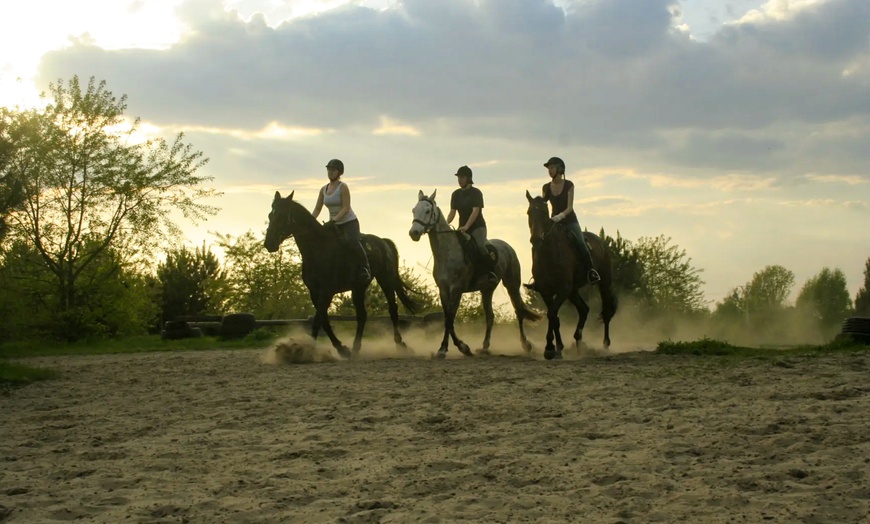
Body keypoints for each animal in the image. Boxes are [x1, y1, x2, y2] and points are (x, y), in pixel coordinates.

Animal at [266, 190, 422, 358]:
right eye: (270, 215)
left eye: (281, 216)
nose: (269, 244)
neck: (318, 248)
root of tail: (383, 242)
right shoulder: (314, 292)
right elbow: (323, 320)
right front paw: (340, 349)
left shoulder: (326, 291)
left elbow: (318, 320)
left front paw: (307, 349)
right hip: (358, 287)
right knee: (362, 315)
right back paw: (356, 348)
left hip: (385, 279)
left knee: (392, 309)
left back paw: (400, 345)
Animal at [408, 190, 540, 358]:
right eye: (413, 210)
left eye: (427, 211)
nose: (414, 233)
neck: (447, 251)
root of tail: (508, 246)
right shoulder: (443, 290)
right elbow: (447, 318)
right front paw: (462, 347)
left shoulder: (456, 289)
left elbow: (450, 318)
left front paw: (446, 349)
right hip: (487, 289)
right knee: (490, 316)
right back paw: (484, 347)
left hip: (512, 285)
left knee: (518, 311)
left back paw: (526, 345)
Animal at [524, 190, 620, 358]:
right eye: (529, 212)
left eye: (544, 212)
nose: (535, 238)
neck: (550, 253)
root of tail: (602, 242)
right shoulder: (546, 291)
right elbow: (554, 317)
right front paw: (558, 347)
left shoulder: (563, 290)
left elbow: (552, 314)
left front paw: (550, 348)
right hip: (573, 291)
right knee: (584, 309)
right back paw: (579, 344)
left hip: (603, 284)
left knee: (606, 311)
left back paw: (605, 344)